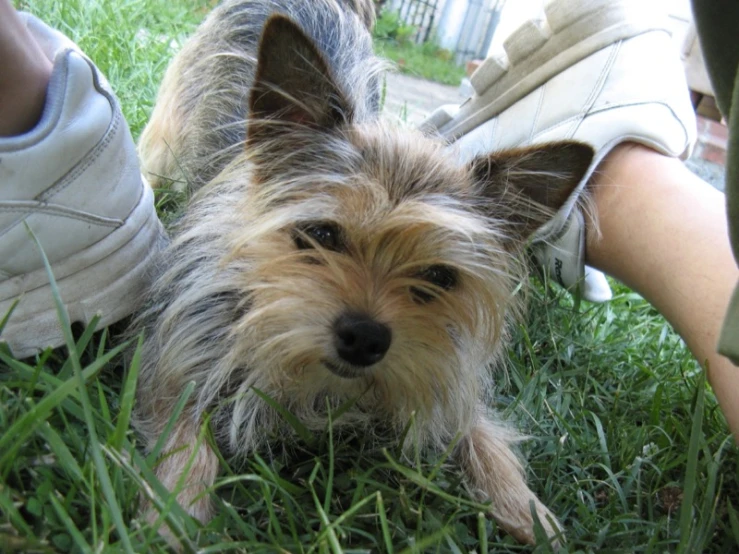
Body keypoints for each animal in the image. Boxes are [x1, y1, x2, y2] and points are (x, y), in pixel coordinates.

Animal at [134, 0, 596, 544]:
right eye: (320, 234)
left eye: (439, 278)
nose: (365, 338)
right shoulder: (178, 351)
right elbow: (184, 439)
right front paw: (172, 517)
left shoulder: (445, 372)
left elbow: (480, 433)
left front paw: (526, 509)